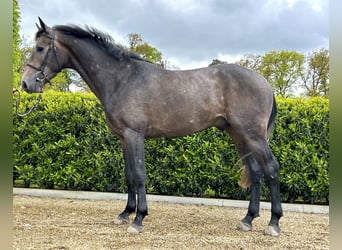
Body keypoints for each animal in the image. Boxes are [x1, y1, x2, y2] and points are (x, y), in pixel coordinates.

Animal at [21, 18, 284, 236]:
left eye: (40, 48)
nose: (25, 83)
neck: (122, 79)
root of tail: (264, 82)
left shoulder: (134, 135)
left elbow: (139, 175)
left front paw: (139, 219)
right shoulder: (123, 139)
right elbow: (129, 175)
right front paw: (125, 214)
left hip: (253, 136)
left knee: (271, 169)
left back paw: (273, 223)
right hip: (239, 135)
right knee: (255, 172)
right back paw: (248, 220)